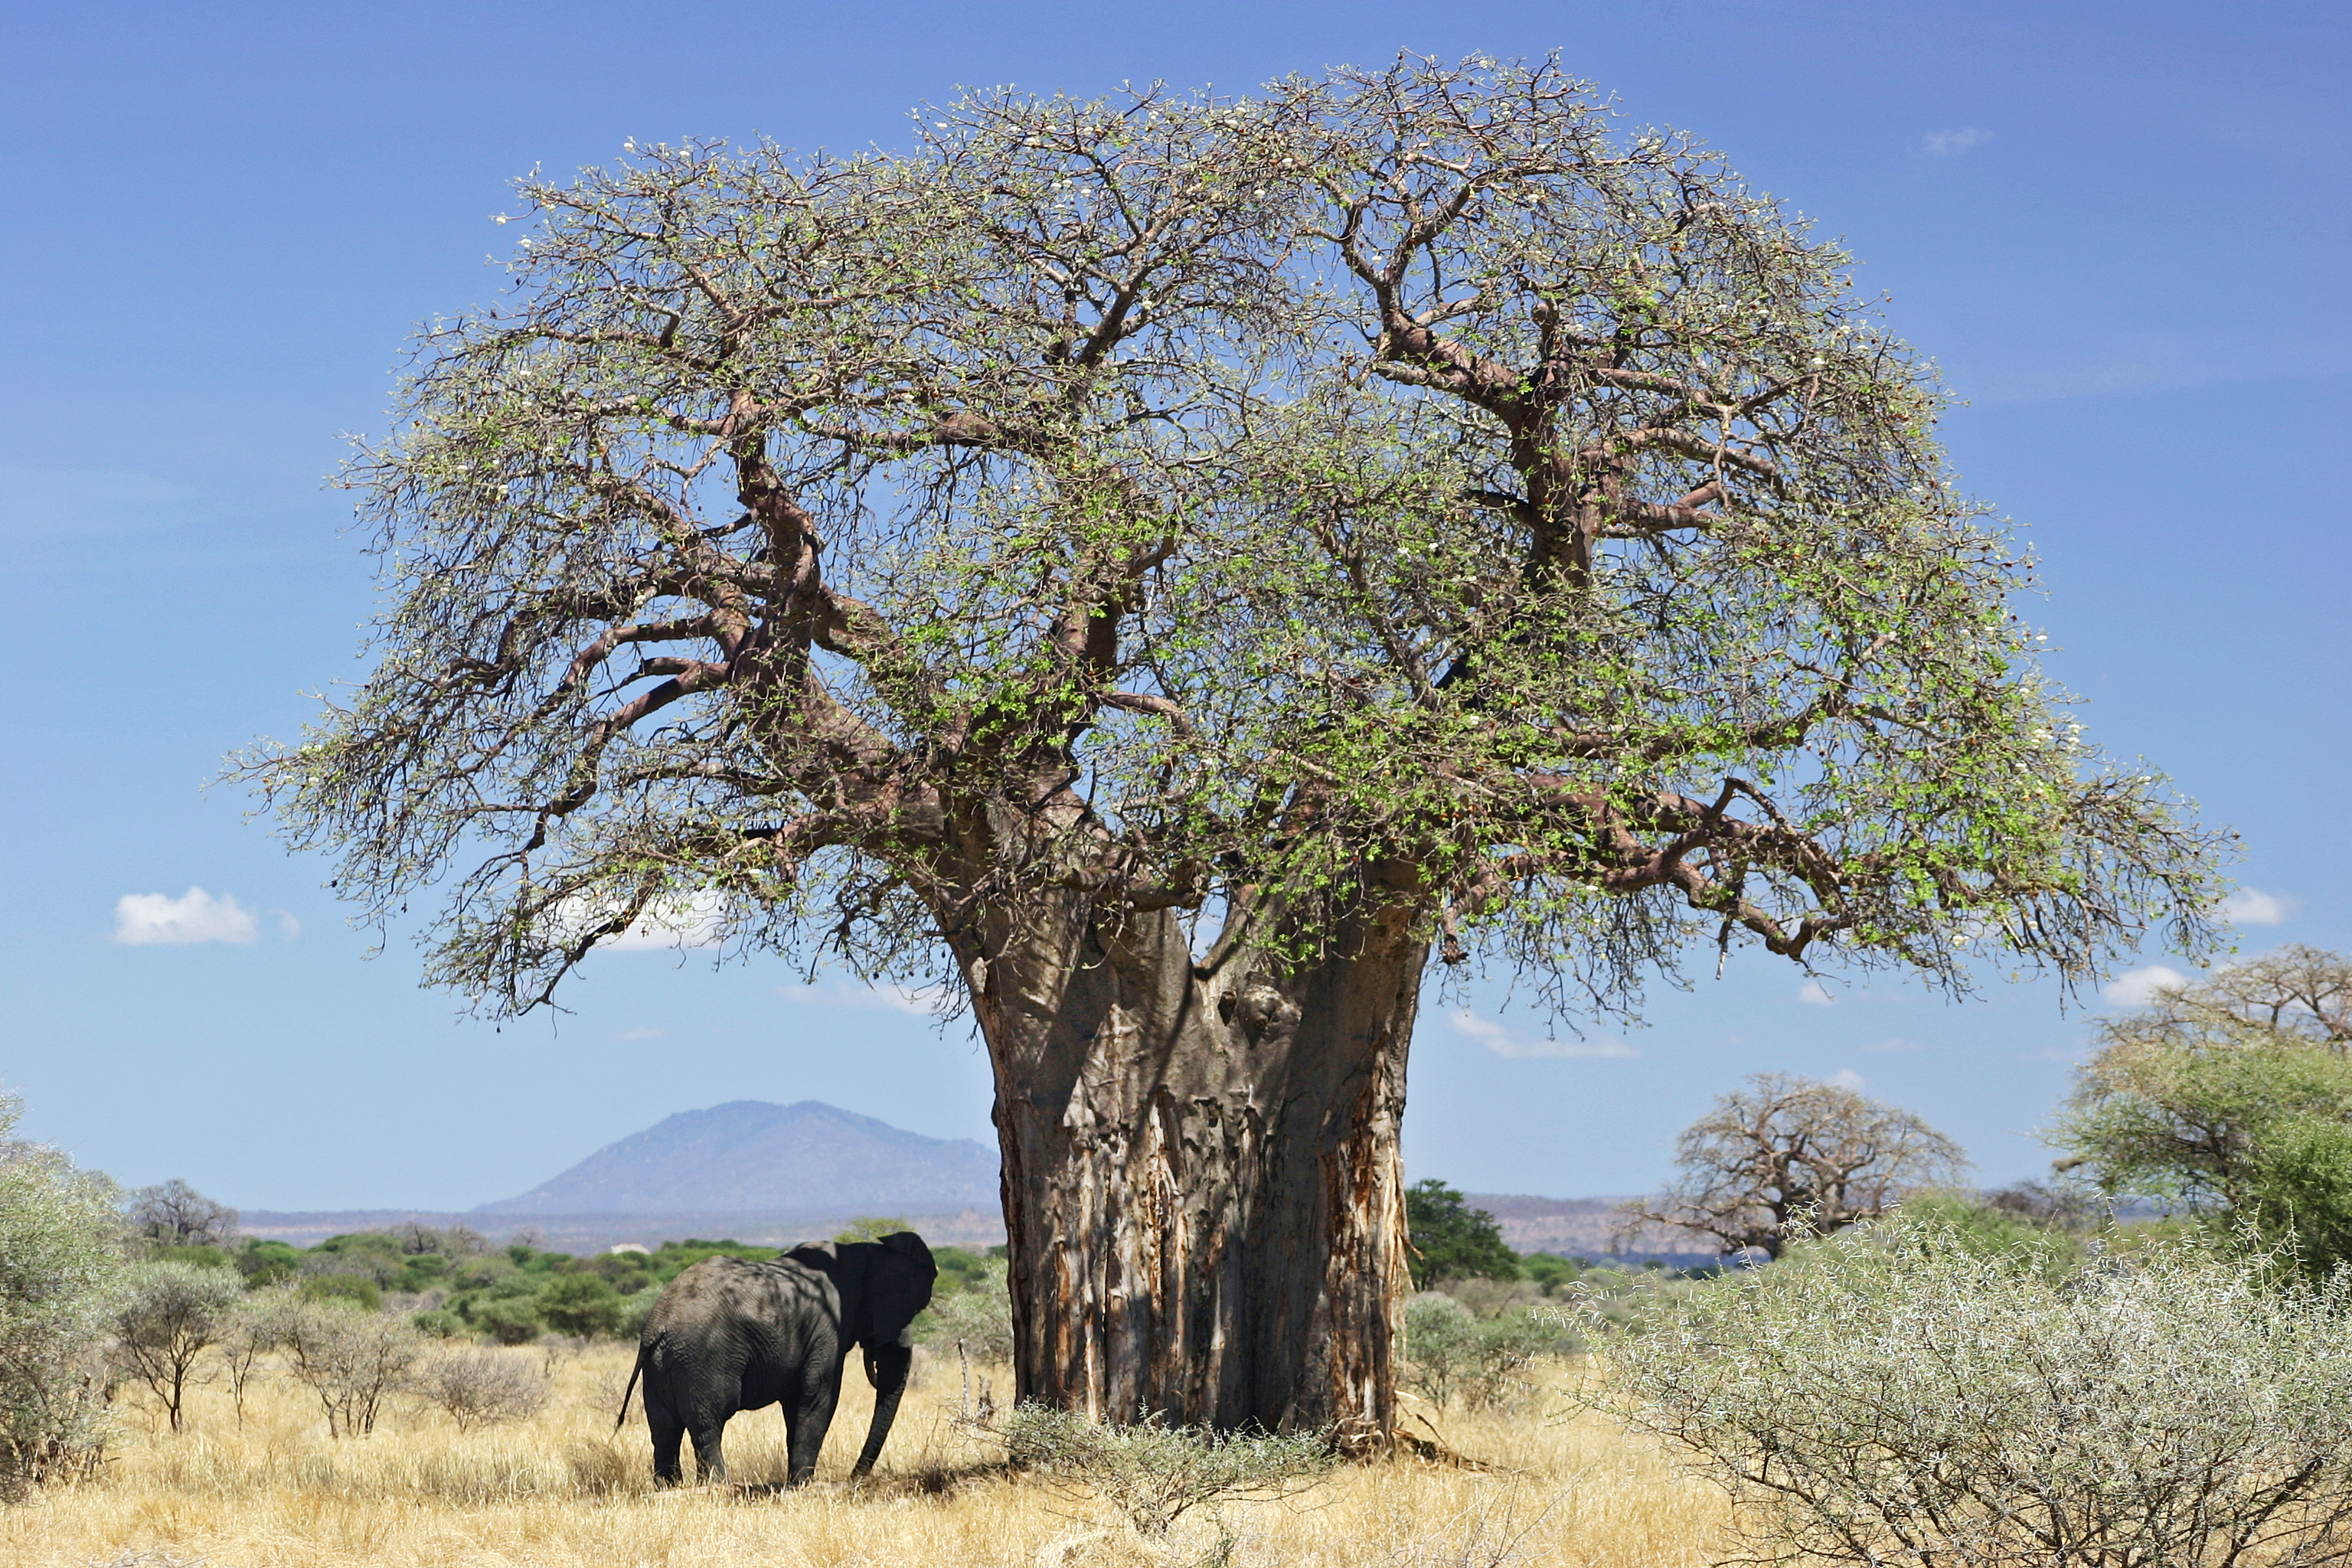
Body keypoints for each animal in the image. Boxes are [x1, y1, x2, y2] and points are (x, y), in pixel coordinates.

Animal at [616, 1241, 936, 1485]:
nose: (852, 1479)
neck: (858, 1253)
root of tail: (657, 1325)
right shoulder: (827, 1329)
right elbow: (819, 1397)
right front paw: (802, 1484)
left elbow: (796, 1403)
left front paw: (796, 1481)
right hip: (703, 1359)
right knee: (707, 1425)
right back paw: (719, 1486)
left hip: (659, 1366)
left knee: (664, 1429)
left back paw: (669, 1487)